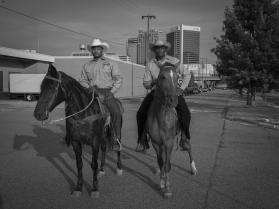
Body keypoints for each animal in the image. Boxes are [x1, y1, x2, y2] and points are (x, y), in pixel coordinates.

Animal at [33, 64, 123, 198]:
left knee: (118, 148)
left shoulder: (94, 142)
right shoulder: (76, 142)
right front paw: (78, 187)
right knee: (104, 149)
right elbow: (79, 164)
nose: (38, 114)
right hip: (102, 135)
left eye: (52, 87)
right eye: (41, 87)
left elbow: (93, 164)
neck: (83, 114)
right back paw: (102, 170)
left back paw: (119, 168)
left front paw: (94, 189)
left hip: (116, 131)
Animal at [145, 65, 198, 198]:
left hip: (184, 137)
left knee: (188, 147)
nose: (173, 100)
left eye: (177, 77)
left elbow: (168, 165)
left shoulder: (169, 143)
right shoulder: (156, 143)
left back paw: (193, 169)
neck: (160, 116)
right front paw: (162, 182)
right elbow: (161, 162)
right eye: (162, 77)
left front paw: (167, 188)